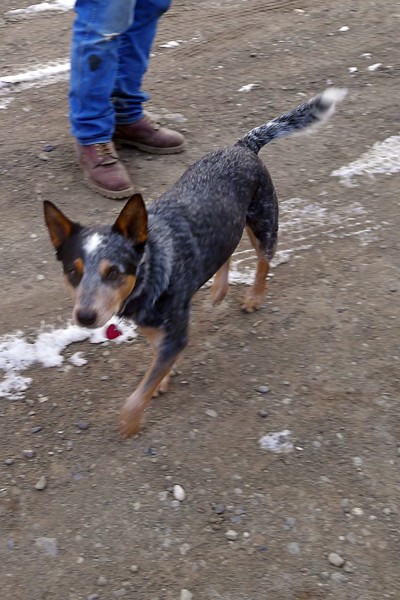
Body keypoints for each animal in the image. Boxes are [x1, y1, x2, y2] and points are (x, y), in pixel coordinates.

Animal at [43, 88, 344, 436]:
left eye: (114, 272)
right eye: (72, 272)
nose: (85, 316)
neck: (150, 269)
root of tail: (241, 146)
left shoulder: (175, 333)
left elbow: (136, 396)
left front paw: (131, 422)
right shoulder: (154, 326)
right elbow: (156, 359)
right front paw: (163, 378)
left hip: (263, 222)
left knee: (264, 261)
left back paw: (254, 296)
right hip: (230, 226)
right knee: (226, 251)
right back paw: (219, 289)